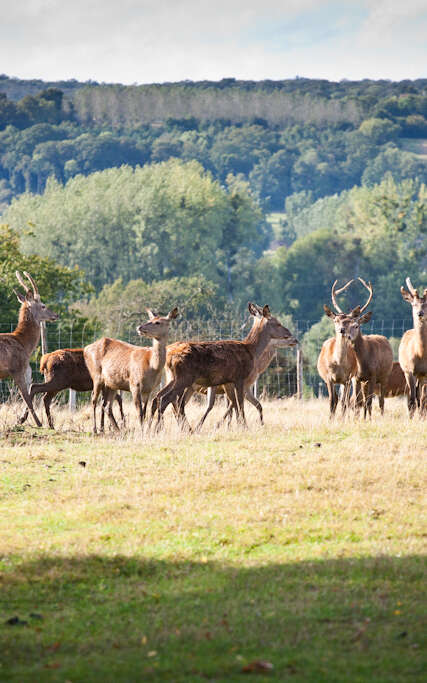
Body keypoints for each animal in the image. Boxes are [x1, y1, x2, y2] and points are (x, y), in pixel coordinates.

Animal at [0, 271, 58, 427]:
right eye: (43, 305)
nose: (56, 315)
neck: (25, 345)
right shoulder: (17, 369)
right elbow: (26, 396)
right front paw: (38, 423)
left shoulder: (27, 371)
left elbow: (30, 392)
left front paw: (22, 419)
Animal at [150, 303, 295, 431]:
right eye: (277, 323)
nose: (291, 335)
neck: (251, 351)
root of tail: (169, 356)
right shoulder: (239, 378)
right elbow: (240, 405)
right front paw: (244, 427)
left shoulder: (228, 381)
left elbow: (235, 405)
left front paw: (236, 426)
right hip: (184, 378)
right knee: (167, 399)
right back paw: (161, 429)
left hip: (173, 378)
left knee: (159, 397)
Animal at [317, 279, 358, 417]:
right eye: (336, 320)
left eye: (350, 322)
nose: (342, 330)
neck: (338, 363)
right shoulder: (329, 378)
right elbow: (331, 401)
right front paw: (331, 419)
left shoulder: (347, 378)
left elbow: (344, 403)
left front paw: (342, 419)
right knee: (335, 399)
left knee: (344, 400)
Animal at [338, 278, 393, 419]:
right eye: (344, 325)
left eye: (356, 325)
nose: (347, 336)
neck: (363, 362)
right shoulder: (356, 378)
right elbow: (358, 402)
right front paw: (360, 419)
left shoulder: (373, 376)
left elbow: (369, 402)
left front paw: (369, 420)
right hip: (364, 382)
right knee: (364, 400)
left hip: (384, 376)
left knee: (381, 401)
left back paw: (381, 416)